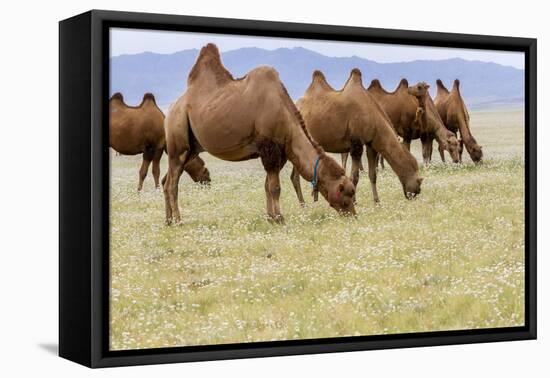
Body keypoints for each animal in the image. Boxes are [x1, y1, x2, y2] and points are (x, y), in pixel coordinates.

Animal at [163, 44, 358, 226]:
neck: (285, 117)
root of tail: (171, 109)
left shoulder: (279, 152)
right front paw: (280, 218)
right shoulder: (269, 148)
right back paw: (178, 220)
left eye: (352, 193)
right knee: (172, 184)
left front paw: (270, 217)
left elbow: (267, 186)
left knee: (167, 181)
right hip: (177, 138)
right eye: (345, 193)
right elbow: (275, 187)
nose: (353, 215)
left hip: (192, 148)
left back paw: (168, 221)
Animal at [294, 68, 426, 204]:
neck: (373, 118)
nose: (416, 192)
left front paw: (377, 201)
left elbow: (372, 174)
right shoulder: (356, 144)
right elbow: (354, 177)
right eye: (418, 179)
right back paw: (303, 204)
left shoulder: (371, 143)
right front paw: (354, 201)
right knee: (295, 177)